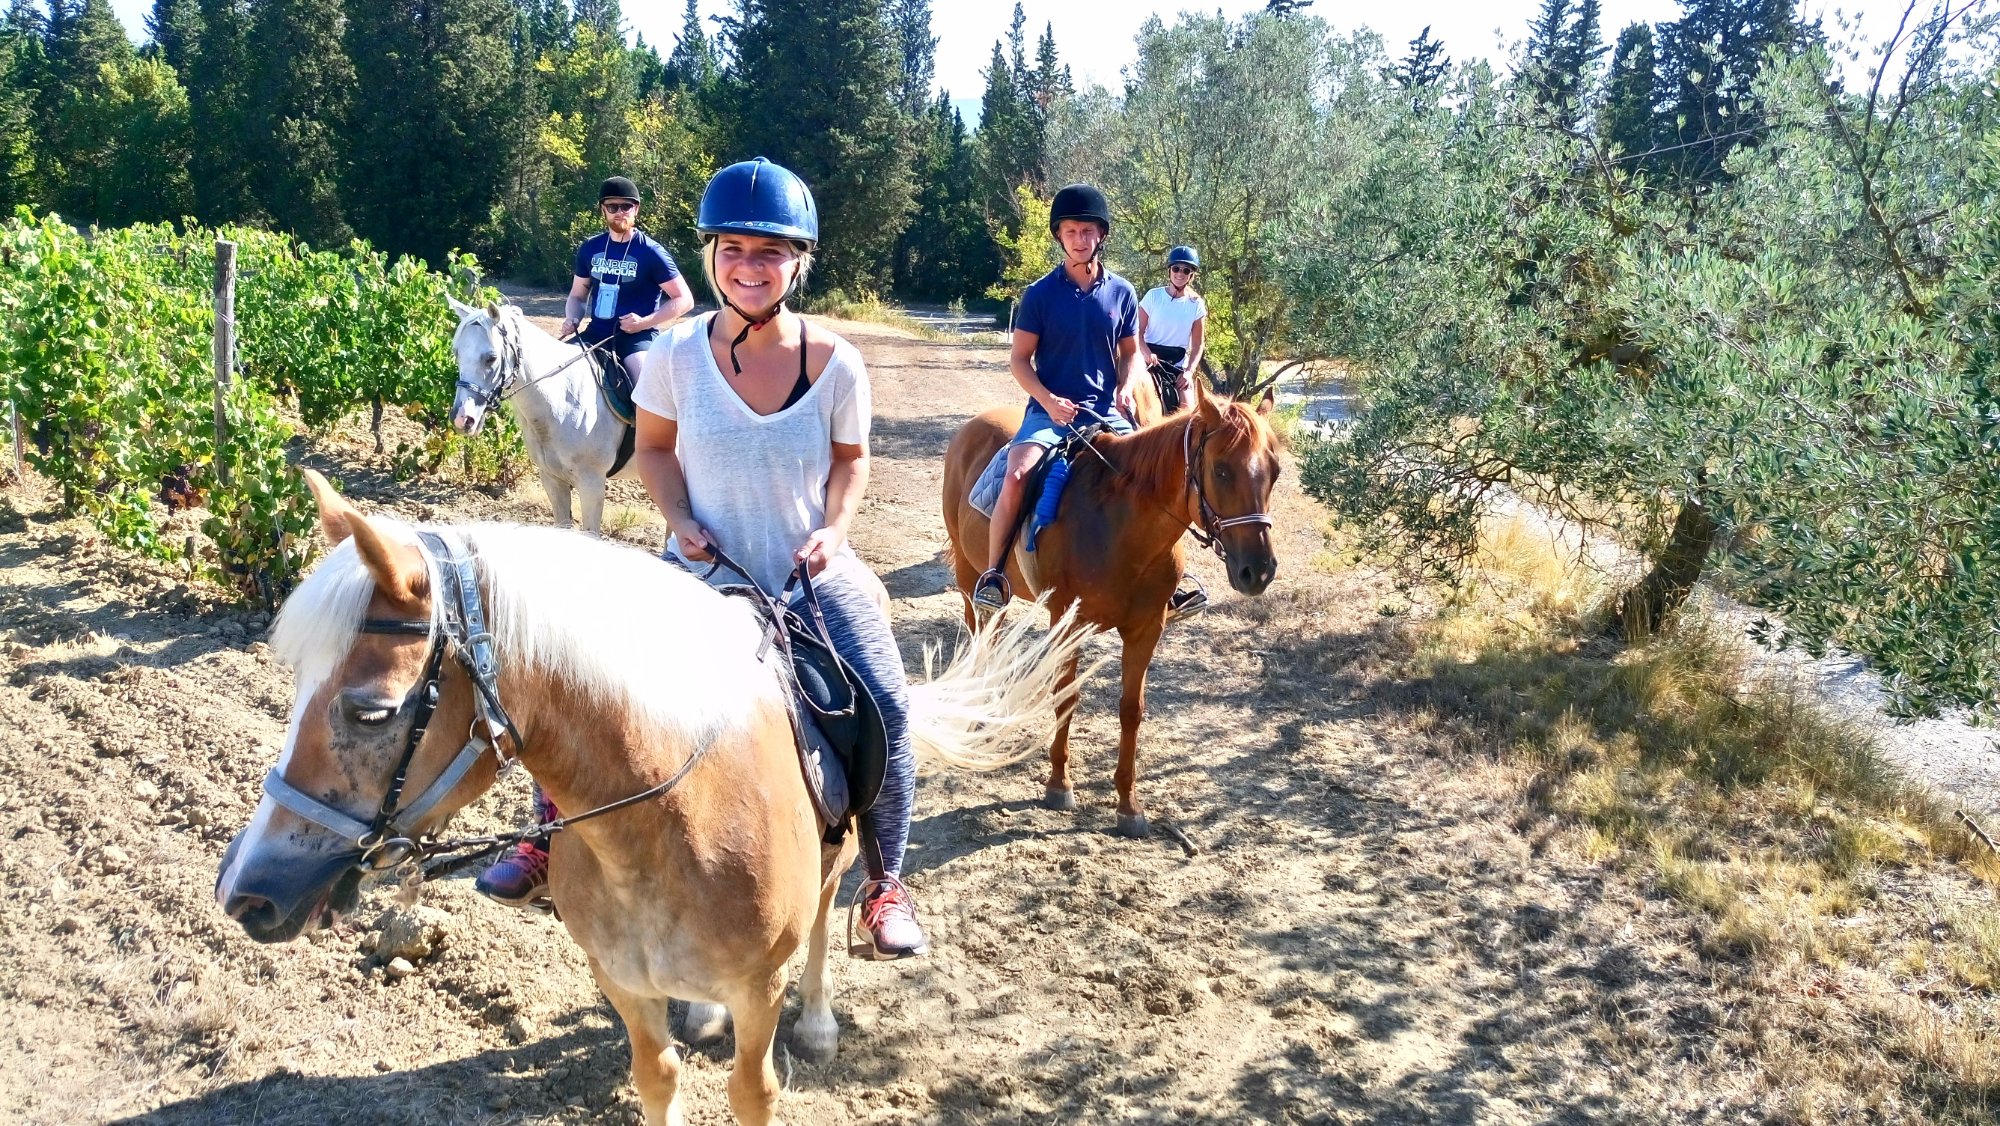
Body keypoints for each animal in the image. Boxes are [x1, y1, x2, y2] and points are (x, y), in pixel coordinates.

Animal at [217, 472, 1088, 1120]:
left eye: (369, 710)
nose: (243, 893)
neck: (669, 823)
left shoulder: (758, 988)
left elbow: (752, 1089)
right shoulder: (622, 980)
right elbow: (657, 1076)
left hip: (844, 848)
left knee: (825, 915)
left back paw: (821, 1014)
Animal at [448, 300, 628, 536]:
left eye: (491, 358)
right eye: (456, 353)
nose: (462, 419)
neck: (566, 400)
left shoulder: (592, 484)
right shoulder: (552, 480)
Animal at [940, 386, 1280, 836]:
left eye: (1275, 472)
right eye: (1222, 470)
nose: (1258, 571)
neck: (1121, 528)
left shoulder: (1146, 629)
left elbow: (1132, 710)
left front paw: (1128, 805)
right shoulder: (1067, 623)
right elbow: (1066, 696)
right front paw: (1059, 785)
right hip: (969, 573)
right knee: (979, 630)